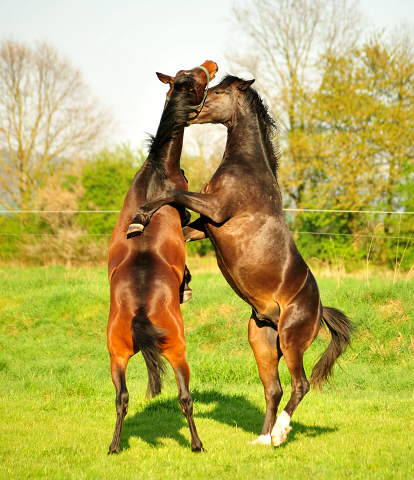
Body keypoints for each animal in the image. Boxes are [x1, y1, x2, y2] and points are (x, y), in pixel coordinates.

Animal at [106, 61, 218, 454]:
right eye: (198, 78)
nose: (212, 64)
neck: (157, 171)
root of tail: (140, 310)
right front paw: (187, 287)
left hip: (116, 357)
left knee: (122, 399)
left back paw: (114, 446)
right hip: (178, 353)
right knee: (185, 397)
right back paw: (198, 444)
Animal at [125, 74, 352, 446]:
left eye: (217, 91)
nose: (191, 112)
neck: (246, 168)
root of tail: (320, 309)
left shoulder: (216, 211)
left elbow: (172, 193)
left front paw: (139, 219)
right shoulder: (206, 226)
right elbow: (183, 233)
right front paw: (183, 281)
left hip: (292, 339)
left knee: (300, 385)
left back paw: (279, 433)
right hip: (262, 340)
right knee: (273, 389)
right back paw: (261, 440)